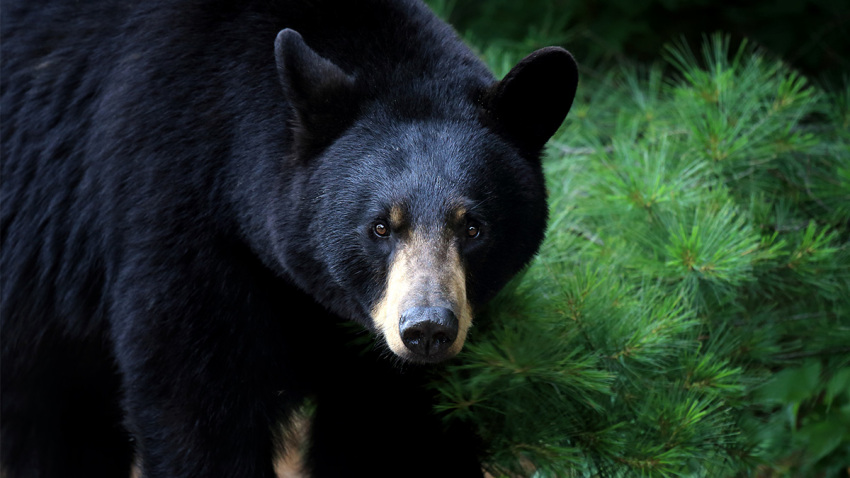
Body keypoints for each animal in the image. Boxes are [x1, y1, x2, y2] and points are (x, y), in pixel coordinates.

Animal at [0, 0, 576, 478]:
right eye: (380, 226)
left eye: (472, 226)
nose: (427, 329)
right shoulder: (174, 210)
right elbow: (197, 402)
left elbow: (397, 434)